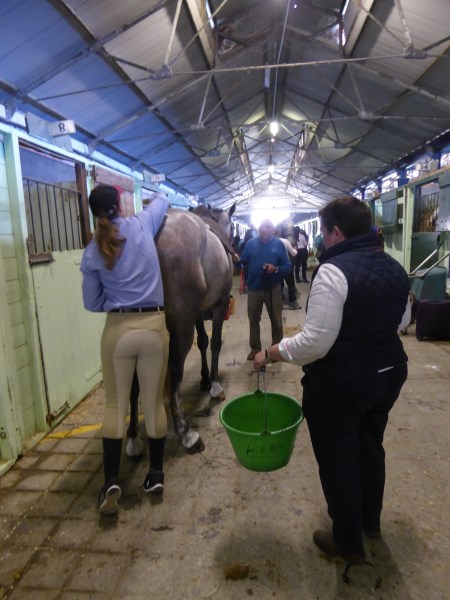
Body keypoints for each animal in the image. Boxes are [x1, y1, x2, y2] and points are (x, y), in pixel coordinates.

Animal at [126, 203, 236, 455]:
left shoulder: (197, 313)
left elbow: (203, 341)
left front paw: (205, 378)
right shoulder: (219, 305)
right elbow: (215, 342)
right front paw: (215, 385)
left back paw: (134, 439)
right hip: (180, 323)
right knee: (175, 367)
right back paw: (187, 434)